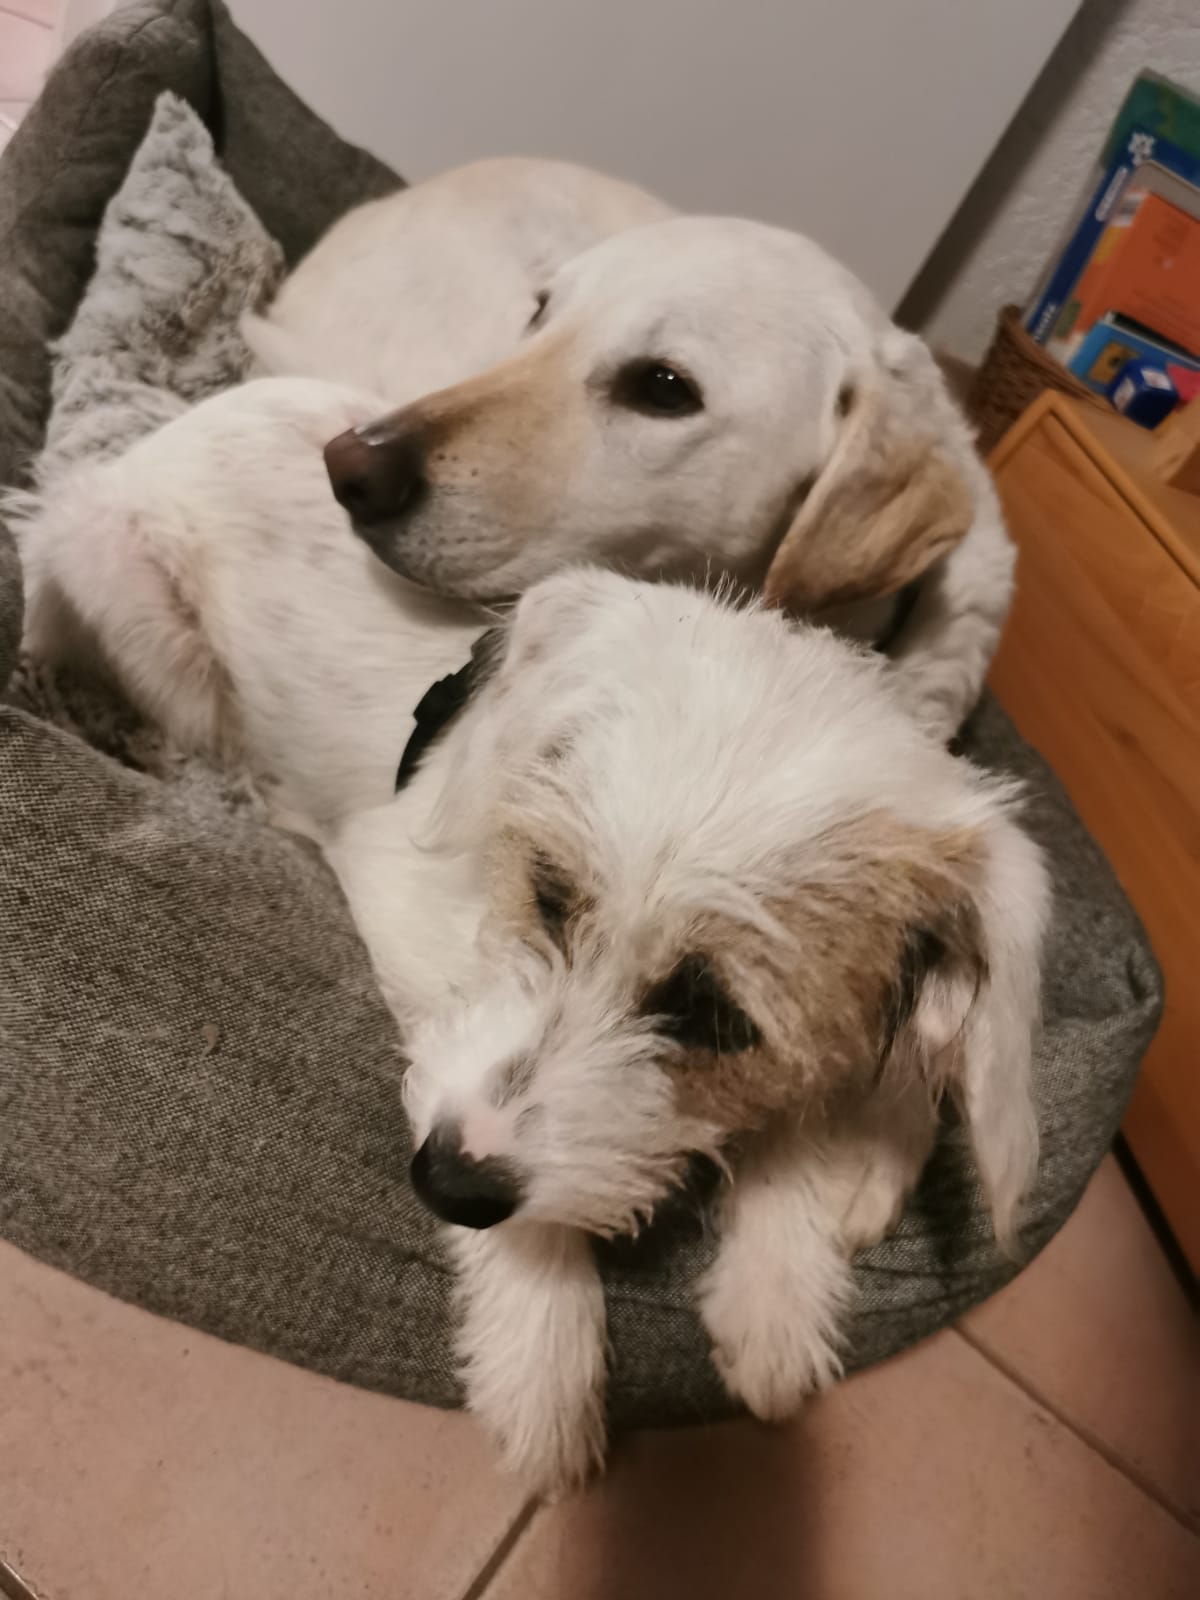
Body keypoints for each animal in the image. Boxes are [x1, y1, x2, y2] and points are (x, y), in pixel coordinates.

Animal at [15, 377, 1050, 1496]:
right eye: (550, 898)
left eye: (721, 1022)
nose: (447, 1182)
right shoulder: (403, 900)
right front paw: (541, 1353)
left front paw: (780, 1291)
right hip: (138, 606)